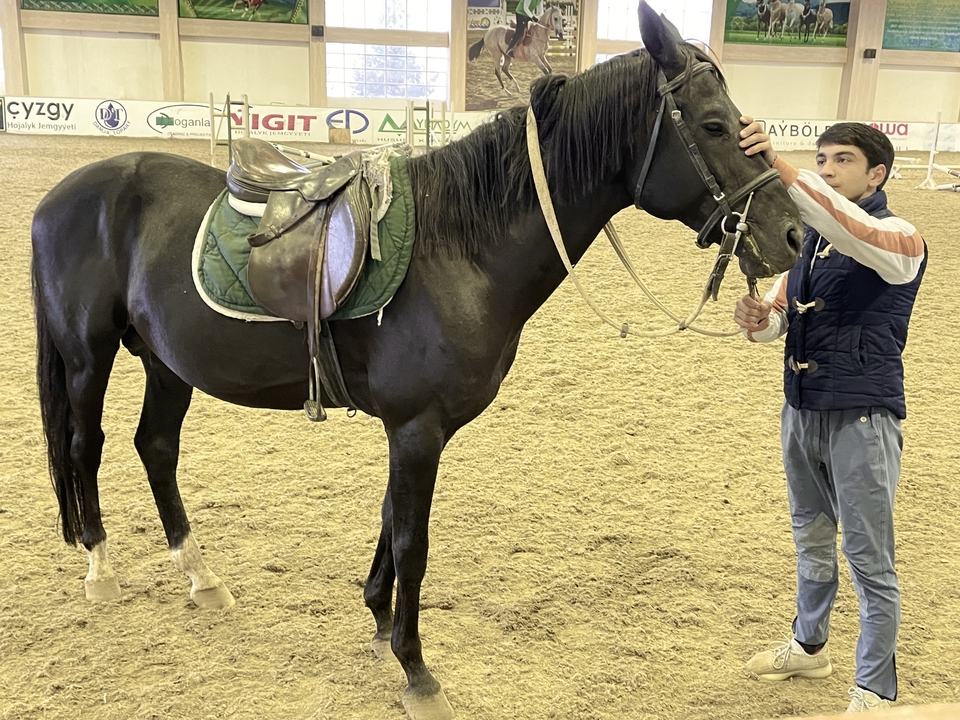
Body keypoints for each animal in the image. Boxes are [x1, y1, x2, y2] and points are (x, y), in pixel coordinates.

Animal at [30, 4, 802, 719]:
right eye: (712, 125)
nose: (792, 235)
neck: (458, 247)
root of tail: (64, 196)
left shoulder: (417, 429)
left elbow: (388, 523)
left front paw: (377, 619)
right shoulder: (415, 427)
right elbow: (413, 544)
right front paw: (416, 669)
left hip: (167, 363)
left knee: (155, 447)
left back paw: (200, 577)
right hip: (87, 357)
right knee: (85, 446)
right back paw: (100, 569)